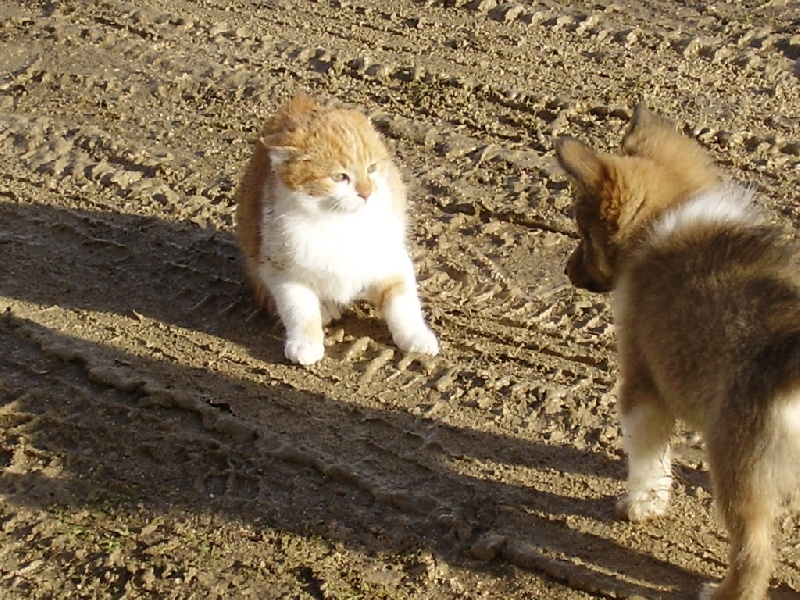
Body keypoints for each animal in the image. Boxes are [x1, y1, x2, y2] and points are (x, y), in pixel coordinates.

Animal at [234, 95, 440, 366]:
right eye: (340, 177)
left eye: (372, 168)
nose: (366, 192)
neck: (340, 222)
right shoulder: (282, 270)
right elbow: (299, 309)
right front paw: (305, 343)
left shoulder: (391, 259)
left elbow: (402, 301)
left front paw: (416, 336)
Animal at [560, 105, 800, 596]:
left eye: (582, 232)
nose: (566, 271)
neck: (665, 215)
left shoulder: (640, 382)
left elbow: (647, 458)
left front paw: (639, 505)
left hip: (737, 471)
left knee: (753, 556)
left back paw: (721, 592)